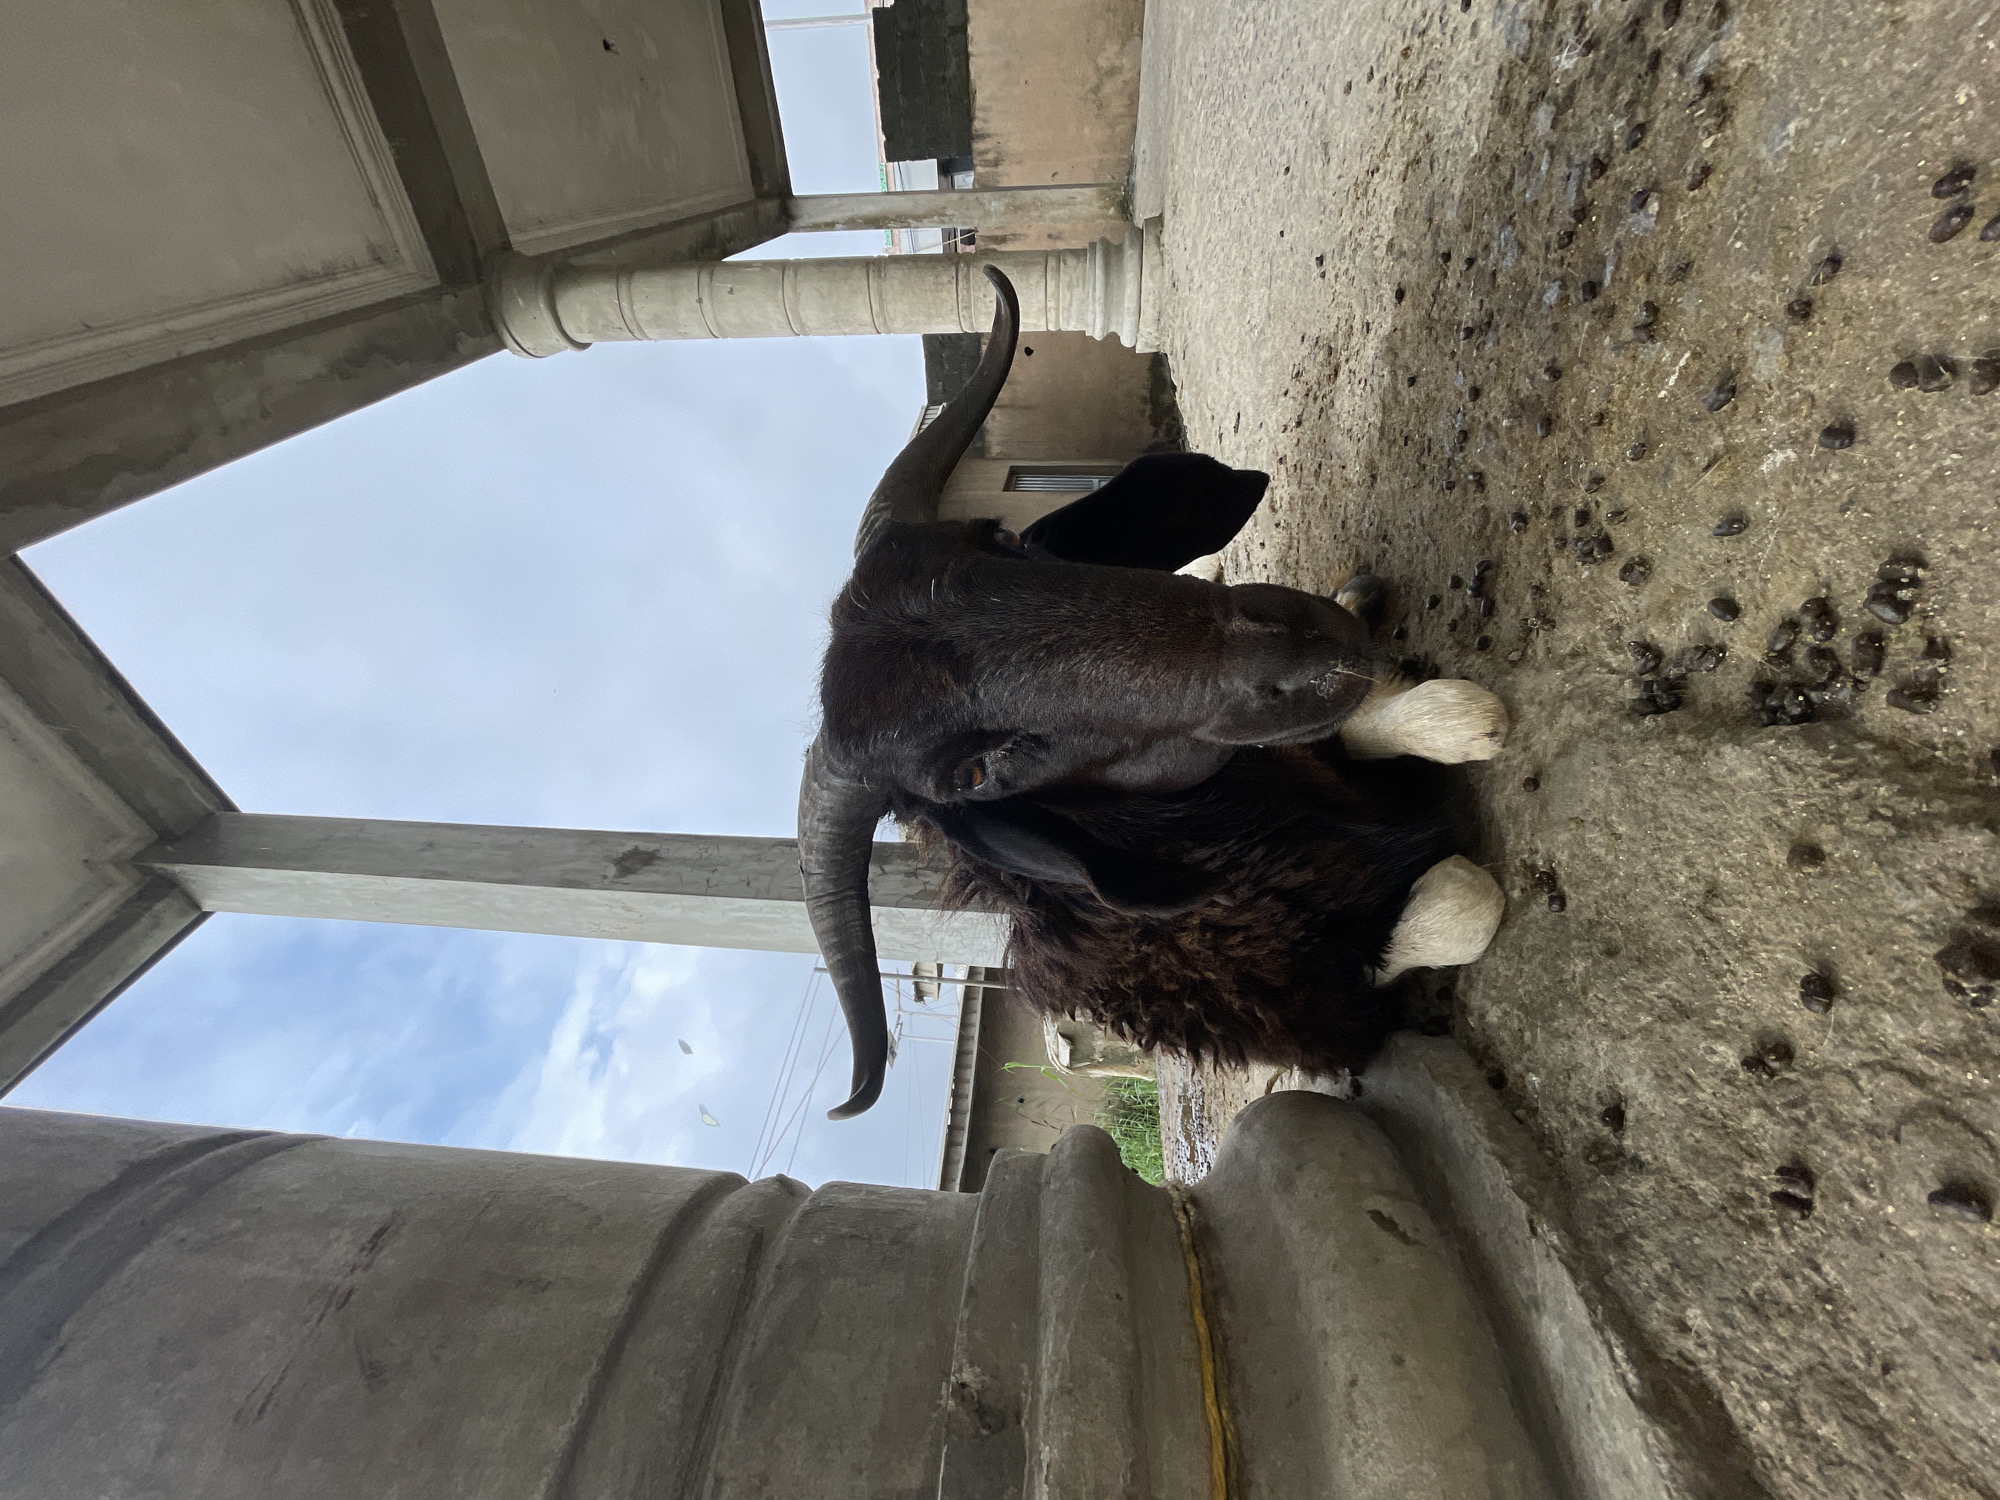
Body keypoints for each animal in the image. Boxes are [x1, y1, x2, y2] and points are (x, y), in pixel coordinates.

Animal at [800, 266, 1508, 1118]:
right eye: (973, 773)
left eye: (1000, 541)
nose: (1308, 646)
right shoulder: (1321, 1010)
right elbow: (1464, 898)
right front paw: (1471, 728)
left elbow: (1377, 727)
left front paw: (1449, 716)